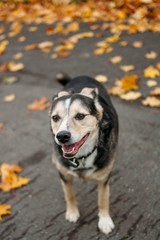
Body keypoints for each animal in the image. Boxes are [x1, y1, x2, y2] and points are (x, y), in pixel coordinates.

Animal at [49, 75, 118, 234]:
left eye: (80, 116)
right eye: (55, 118)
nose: (62, 136)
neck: (81, 157)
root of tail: (82, 76)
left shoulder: (103, 179)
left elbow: (103, 200)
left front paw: (105, 221)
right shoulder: (64, 175)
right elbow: (69, 194)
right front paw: (72, 212)